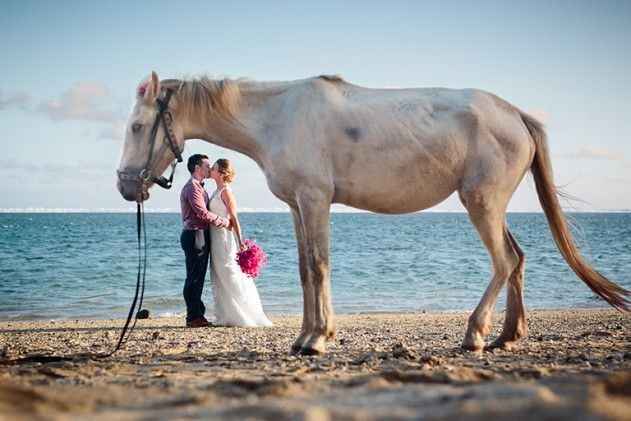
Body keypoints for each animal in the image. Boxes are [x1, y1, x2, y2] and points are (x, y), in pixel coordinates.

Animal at [116, 72, 628, 354]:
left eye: (139, 126)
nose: (125, 185)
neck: (277, 117)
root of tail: (517, 114)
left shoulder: (315, 201)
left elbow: (319, 266)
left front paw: (318, 339)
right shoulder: (298, 206)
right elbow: (305, 270)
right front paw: (305, 336)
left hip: (481, 203)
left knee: (503, 262)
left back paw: (475, 334)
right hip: (492, 205)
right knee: (517, 260)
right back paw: (508, 336)